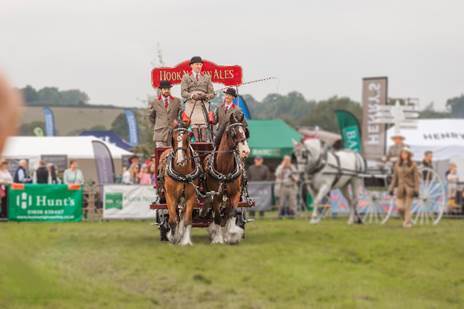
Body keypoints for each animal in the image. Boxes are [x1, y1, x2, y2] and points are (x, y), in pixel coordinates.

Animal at [203, 112, 250, 244]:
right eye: (233, 132)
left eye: (245, 131)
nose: (245, 151)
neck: (224, 170)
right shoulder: (215, 195)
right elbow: (218, 217)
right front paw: (218, 239)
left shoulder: (235, 194)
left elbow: (231, 214)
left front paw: (231, 235)